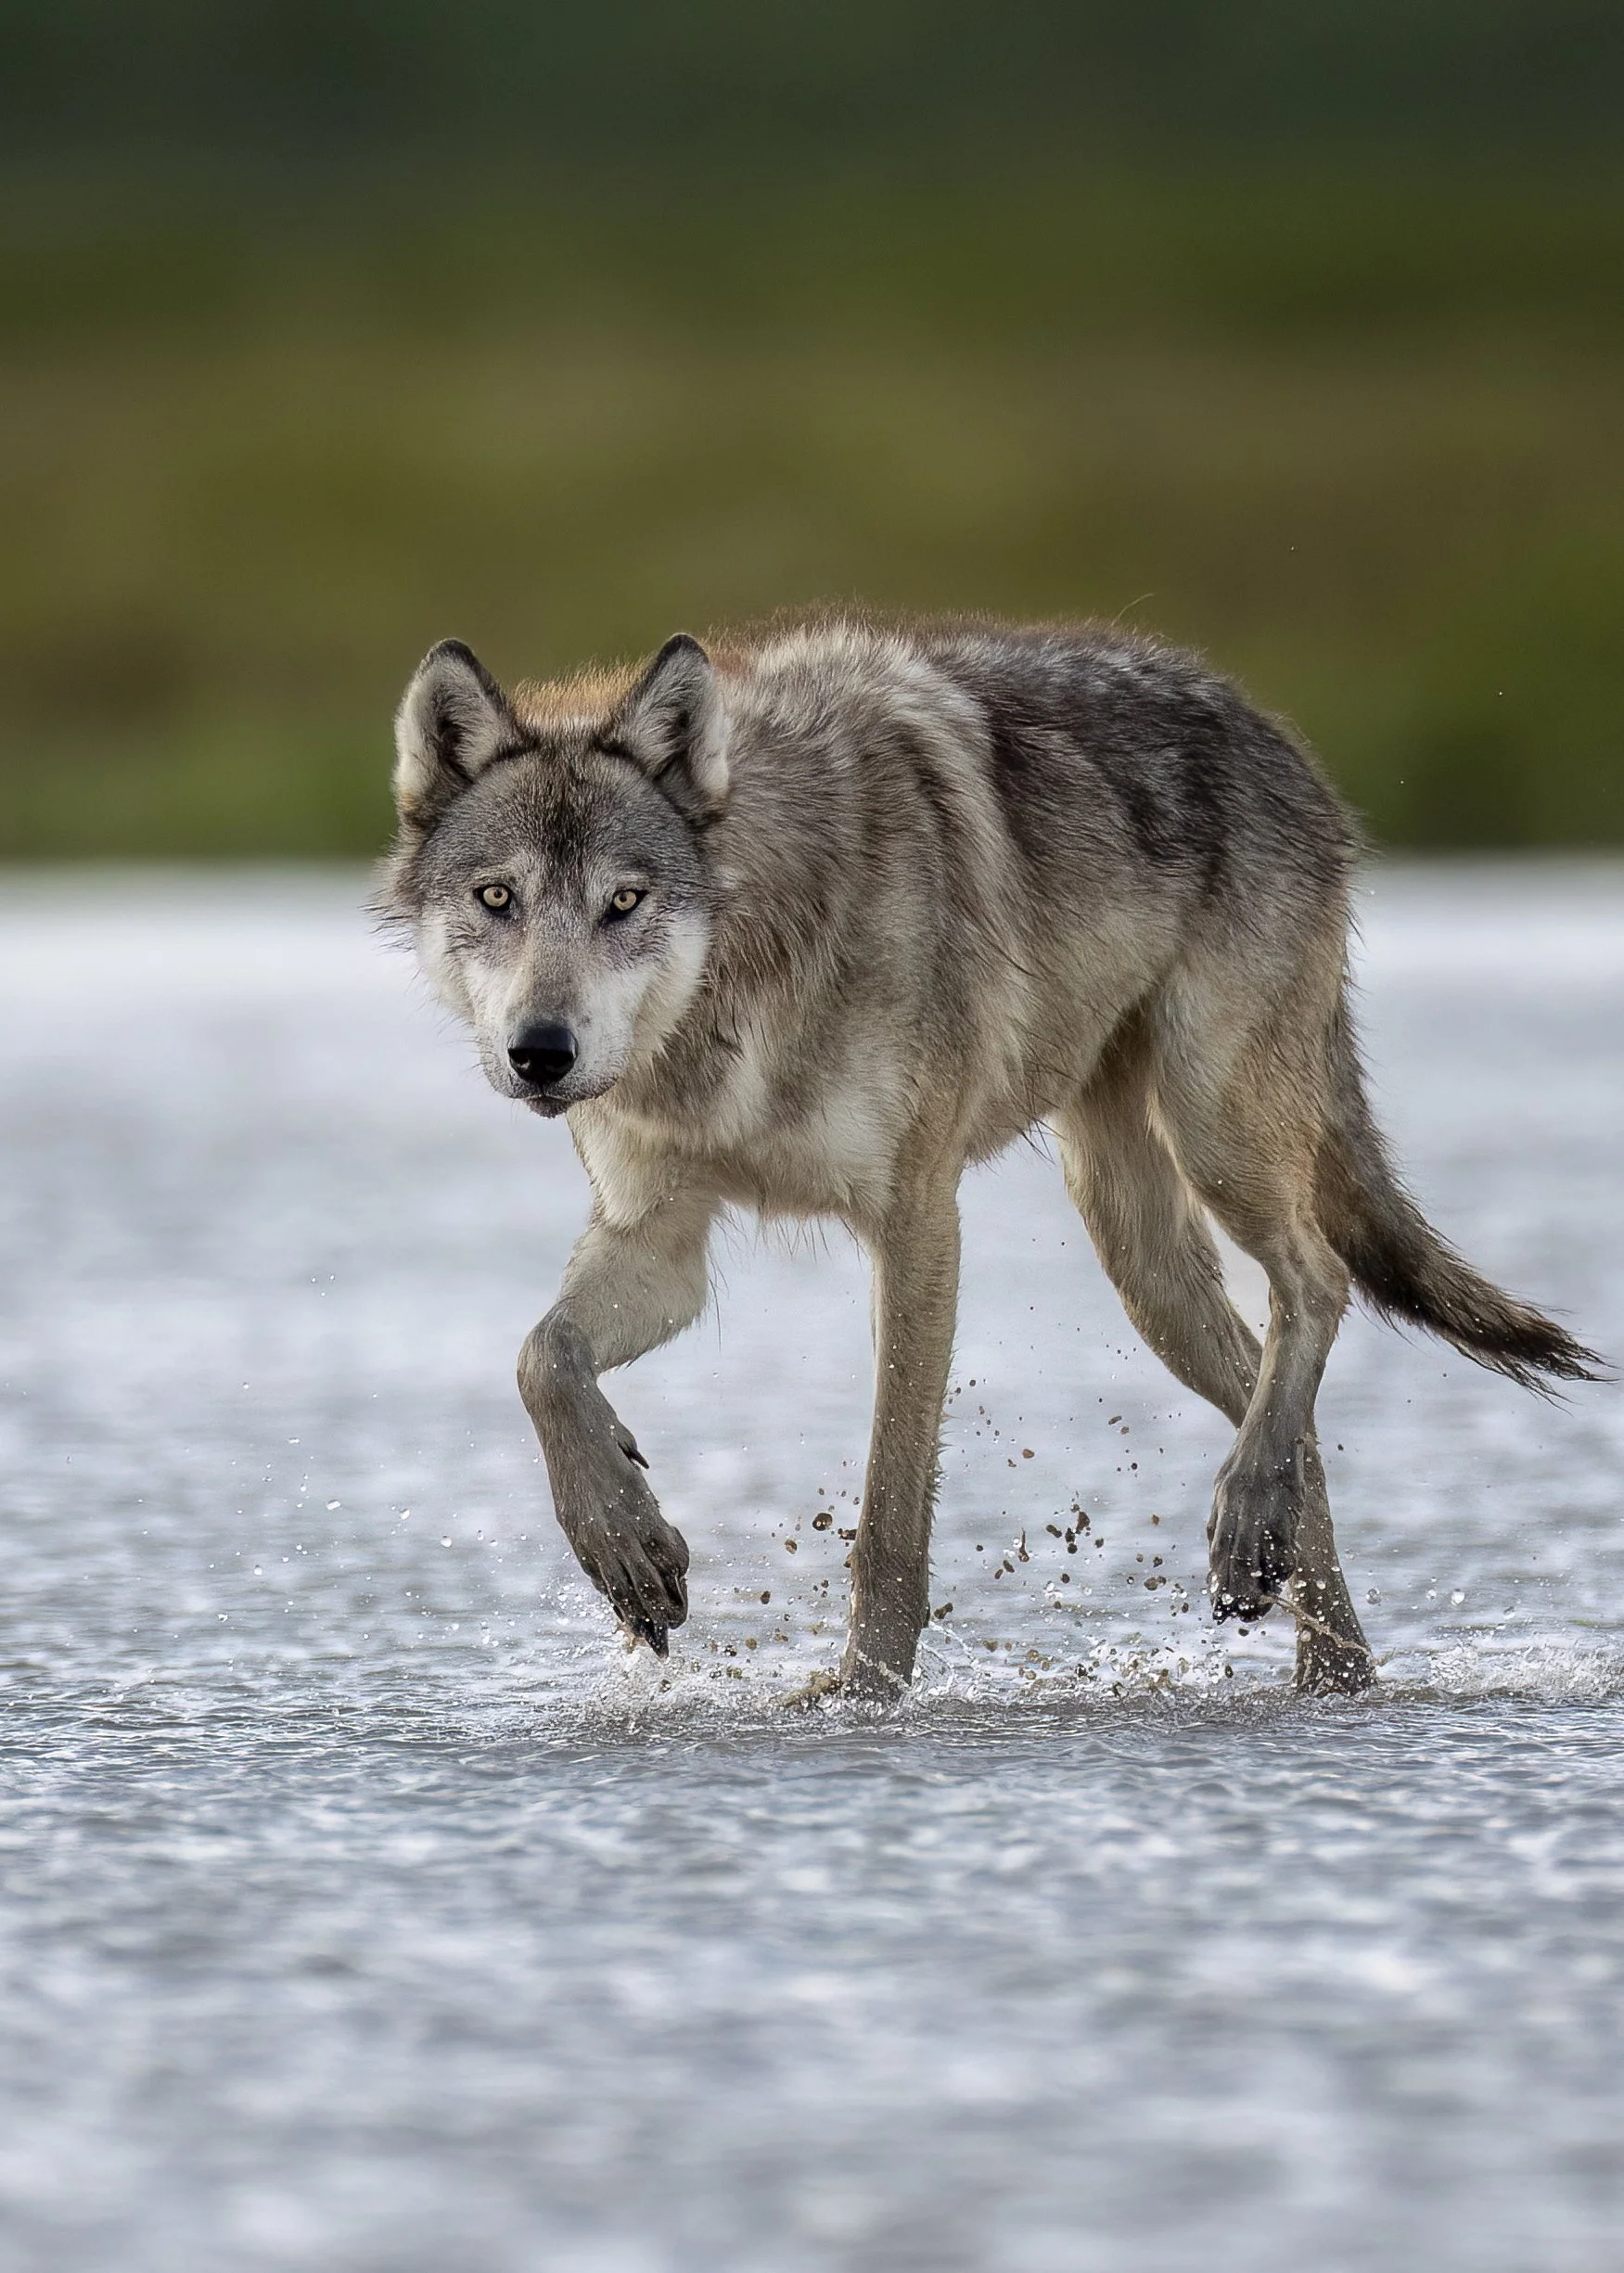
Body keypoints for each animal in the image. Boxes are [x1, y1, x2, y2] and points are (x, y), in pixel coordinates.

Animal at [380, 614, 1598, 1700]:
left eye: (623, 902)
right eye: (498, 898)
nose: (541, 1053)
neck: (735, 997)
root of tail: (1270, 729)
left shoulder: (918, 1220)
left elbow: (888, 1513)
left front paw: (862, 1696)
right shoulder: (659, 1239)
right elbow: (541, 1361)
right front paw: (628, 1553)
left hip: (1213, 1132)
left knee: (1317, 1282)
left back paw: (1257, 1538)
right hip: (1140, 1259)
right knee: (1287, 1413)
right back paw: (1324, 1658)